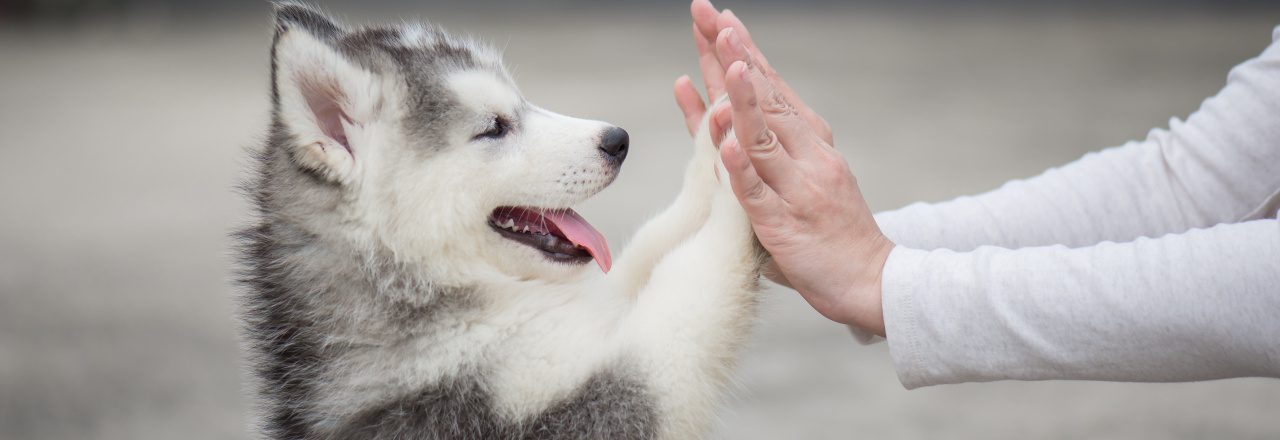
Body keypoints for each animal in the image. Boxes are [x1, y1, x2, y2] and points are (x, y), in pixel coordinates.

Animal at [236, 4, 762, 440]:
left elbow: (652, 245)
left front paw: (718, 142)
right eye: (493, 128)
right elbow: (690, 282)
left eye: (521, 103)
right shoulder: (605, 403)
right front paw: (746, 181)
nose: (618, 140)